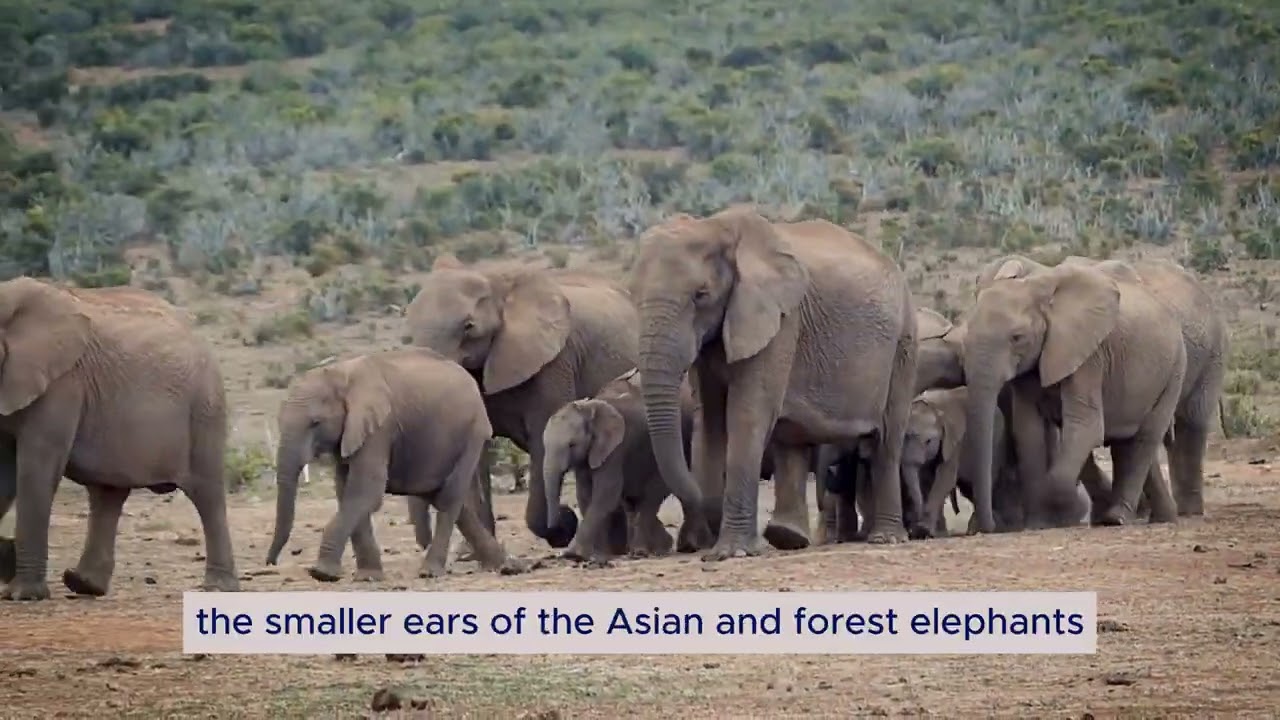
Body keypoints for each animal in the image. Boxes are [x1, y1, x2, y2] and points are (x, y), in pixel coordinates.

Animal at [0, 277, 239, 601]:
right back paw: (83, 584)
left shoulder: (63, 382)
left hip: (205, 407)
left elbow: (36, 467)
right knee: (108, 493)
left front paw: (23, 595)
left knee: (207, 493)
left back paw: (219, 588)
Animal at [265, 348, 529, 582]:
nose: (270, 563)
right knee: (443, 498)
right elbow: (347, 491)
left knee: (449, 499)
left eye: (315, 422)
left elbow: (365, 491)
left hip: (473, 433)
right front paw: (368, 577)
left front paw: (322, 574)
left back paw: (430, 572)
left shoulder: (380, 428)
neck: (342, 374)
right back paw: (506, 566)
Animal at [404, 254, 641, 551]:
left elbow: (542, 440)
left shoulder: (555, 364)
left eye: (468, 327)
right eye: (409, 325)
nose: (424, 545)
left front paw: (564, 526)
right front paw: (471, 553)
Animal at [629, 206, 918, 561]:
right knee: (793, 438)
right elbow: (710, 419)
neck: (717, 228)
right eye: (633, 295)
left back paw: (886, 538)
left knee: (887, 439)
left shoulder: (780, 320)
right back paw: (788, 538)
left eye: (701, 295)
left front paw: (731, 553)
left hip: (904, 342)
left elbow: (747, 414)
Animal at [976, 254, 1228, 518]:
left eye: (1017, 338)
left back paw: (1174, 514)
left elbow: (1090, 428)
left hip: (1199, 359)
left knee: (1180, 427)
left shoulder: (1092, 355)